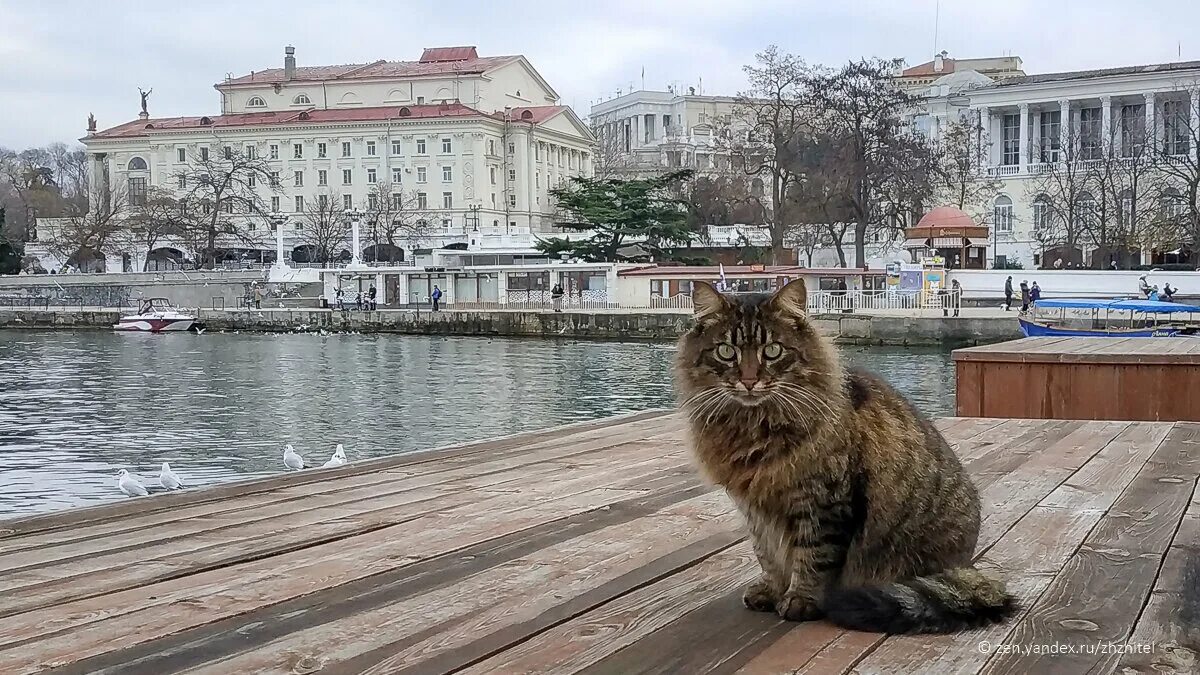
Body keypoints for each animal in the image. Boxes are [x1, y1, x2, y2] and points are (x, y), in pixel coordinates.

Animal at [676, 277, 1012, 629]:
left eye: (773, 350)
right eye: (727, 351)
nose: (749, 381)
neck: (753, 425)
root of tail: (967, 568)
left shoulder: (824, 503)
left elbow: (813, 558)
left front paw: (801, 599)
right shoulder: (756, 509)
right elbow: (767, 555)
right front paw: (771, 590)